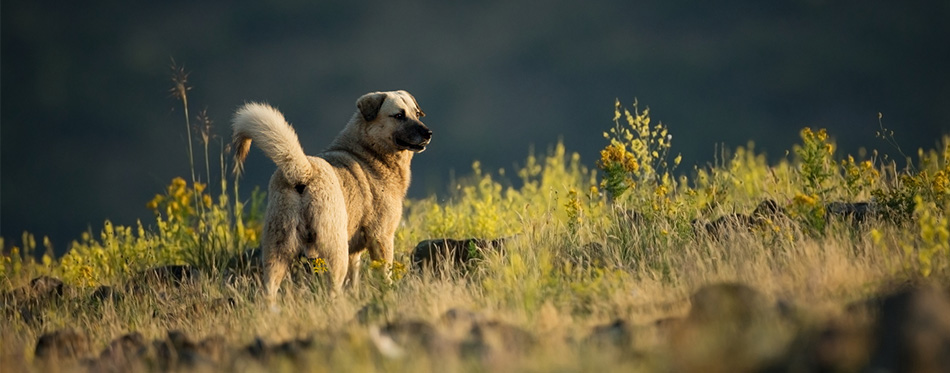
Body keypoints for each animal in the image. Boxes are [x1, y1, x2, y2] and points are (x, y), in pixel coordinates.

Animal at [232, 90, 434, 300]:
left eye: (416, 114)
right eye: (399, 115)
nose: (428, 133)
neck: (369, 154)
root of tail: (304, 172)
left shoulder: (354, 253)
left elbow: (354, 280)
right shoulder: (381, 237)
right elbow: (385, 274)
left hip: (276, 251)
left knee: (269, 291)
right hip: (334, 251)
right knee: (333, 290)